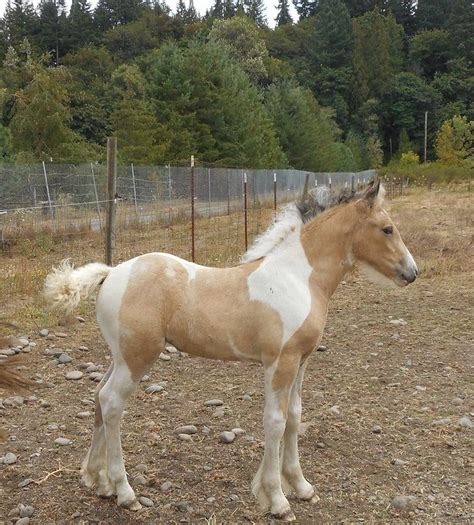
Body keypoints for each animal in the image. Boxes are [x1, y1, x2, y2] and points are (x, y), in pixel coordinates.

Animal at [43, 181, 414, 520]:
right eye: (387, 228)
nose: (411, 272)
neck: (299, 277)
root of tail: (110, 273)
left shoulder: (301, 361)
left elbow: (295, 416)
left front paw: (301, 486)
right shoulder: (280, 362)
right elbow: (275, 421)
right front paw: (277, 499)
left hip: (118, 358)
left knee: (98, 397)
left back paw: (98, 481)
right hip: (137, 358)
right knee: (111, 403)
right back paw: (124, 491)